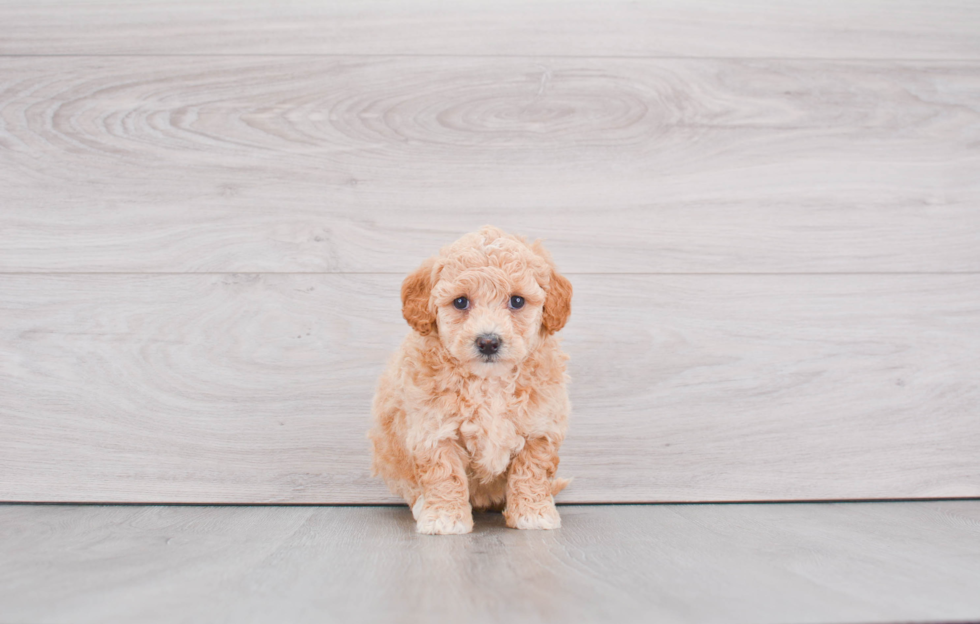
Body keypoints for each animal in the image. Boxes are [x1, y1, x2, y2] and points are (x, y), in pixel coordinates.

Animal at [370, 227, 576, 532]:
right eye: (460, 302)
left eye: (517, 301)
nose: (488, 342)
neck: (488, 382)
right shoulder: (434, 430)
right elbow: (445, 475)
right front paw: (445, 517)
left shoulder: (540, 428)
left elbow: (531, 472)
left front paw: (533, 514)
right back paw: (423, 505)